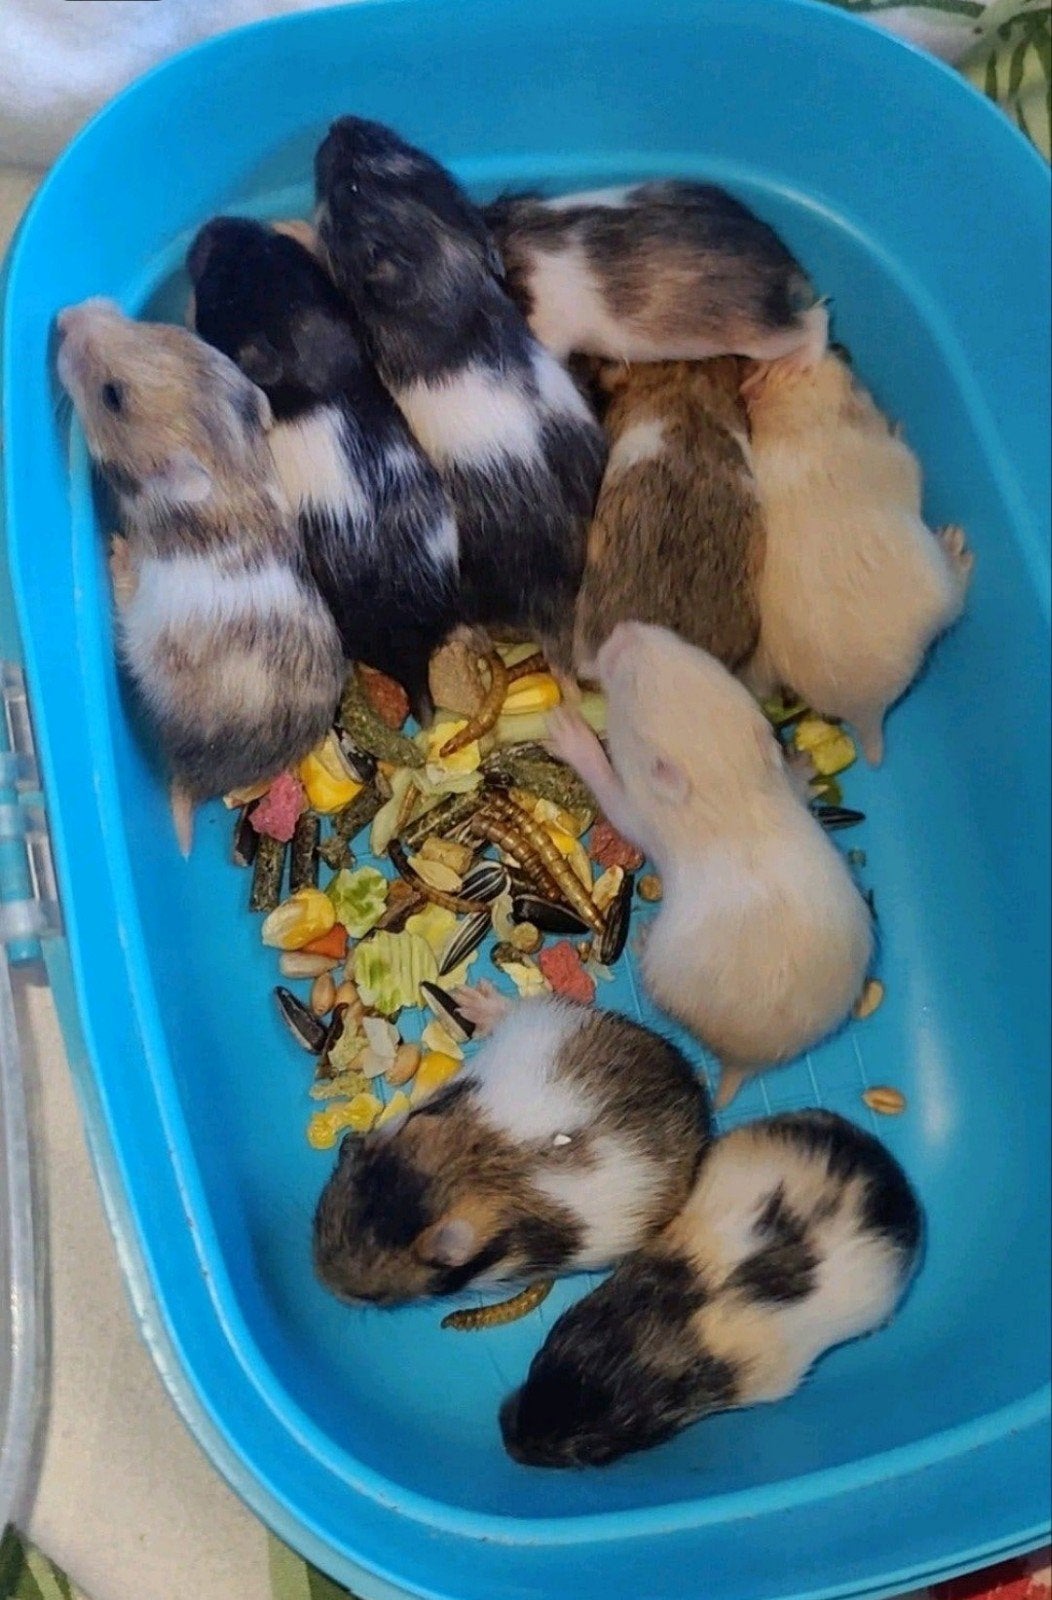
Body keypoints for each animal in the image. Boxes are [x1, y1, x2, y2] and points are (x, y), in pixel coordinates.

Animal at [55, 298, 345, 843]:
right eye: (154, 328)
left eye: (113, 396)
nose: (64, 315)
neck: (231, 464)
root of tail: (202, 781)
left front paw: (118, 545)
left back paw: (116, 551)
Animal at [547, 623, 873, 1107]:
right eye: (701, 657)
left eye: (632, 686)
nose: (625, 628)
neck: (728, 783)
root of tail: (746, 1062)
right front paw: (802, 766)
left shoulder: (641, 814)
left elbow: (614, 798)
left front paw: (570, 732)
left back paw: (641, 937)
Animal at [741, 351, 974, 764]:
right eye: (853, 384)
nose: (838, 348)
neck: (793, 421)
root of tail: (865, 715)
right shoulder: (901, 460)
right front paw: (896, 425)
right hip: (941, 591)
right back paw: (956, 545)